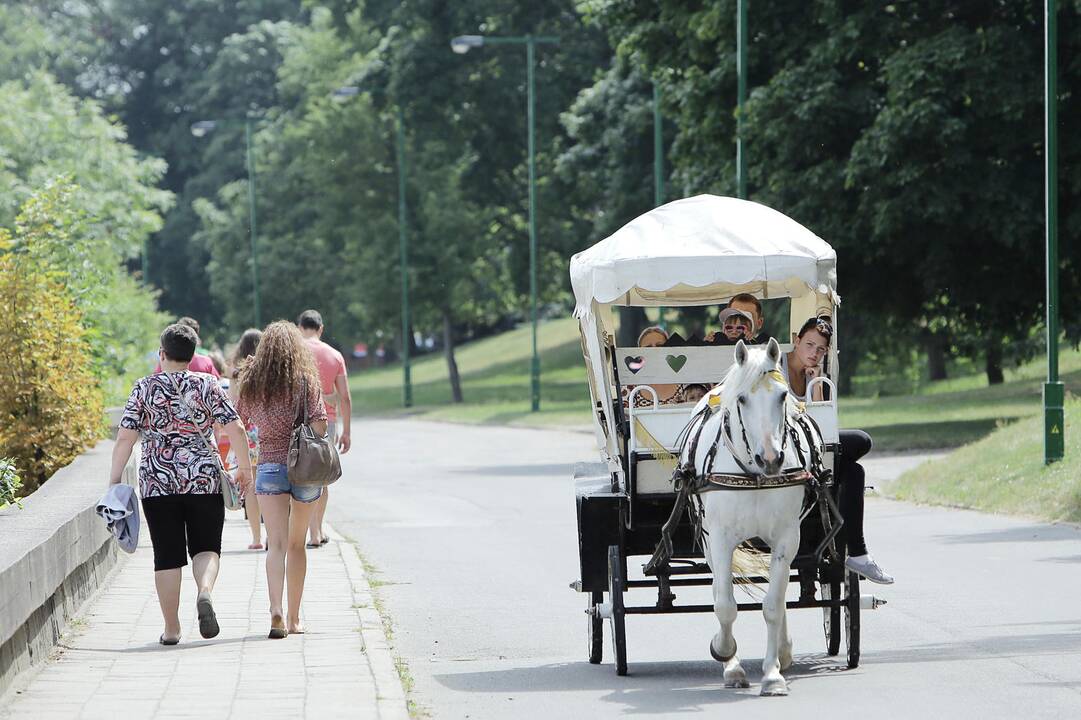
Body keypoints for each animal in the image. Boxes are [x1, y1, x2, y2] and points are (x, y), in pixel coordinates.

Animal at [678, 337, 821, 696]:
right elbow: (724, 605)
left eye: (782, 396)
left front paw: (772, 674)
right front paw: (726, 654)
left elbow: (773, 604)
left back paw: (783, 652)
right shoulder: (719, 540)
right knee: (719, 589)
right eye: (742, 398)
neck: (754, 475)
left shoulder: (786, 538)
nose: (771, 458)